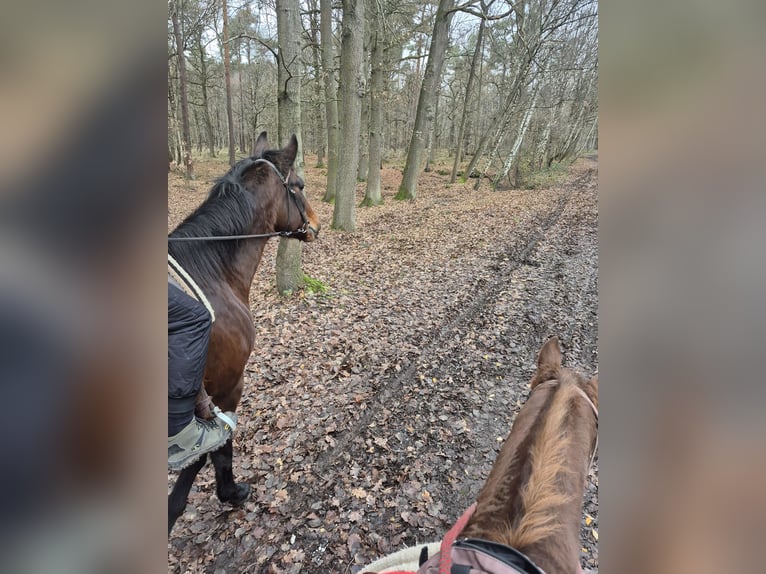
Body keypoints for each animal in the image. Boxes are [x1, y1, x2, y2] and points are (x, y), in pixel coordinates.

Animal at [167, 132, 321, 534]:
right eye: (299, 186)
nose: (315, 223)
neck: (212, 274)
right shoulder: (228, 383)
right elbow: (214, 451)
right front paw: (231, 492)